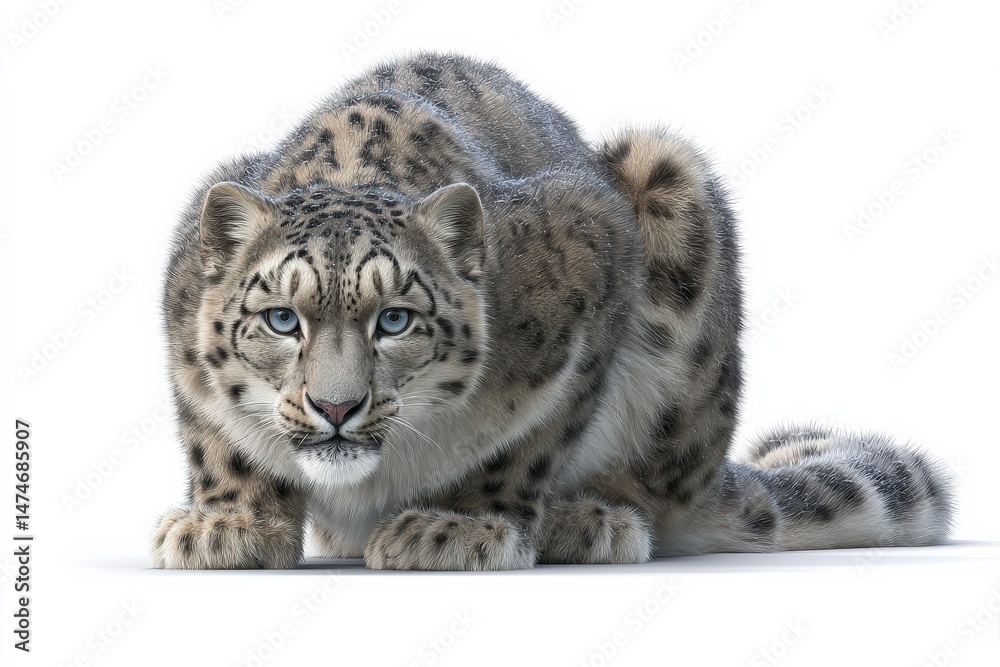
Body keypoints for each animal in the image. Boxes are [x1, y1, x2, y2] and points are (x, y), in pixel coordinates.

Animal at [150, 52, 953, 570]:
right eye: (283, 319)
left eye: (396, 319)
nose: (337, 408)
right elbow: (215, 436)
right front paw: (226, 524)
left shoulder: (588, 256)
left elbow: (530, 436)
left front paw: (457, 526)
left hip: (674, 205)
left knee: (655, 490)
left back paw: (586, 520)